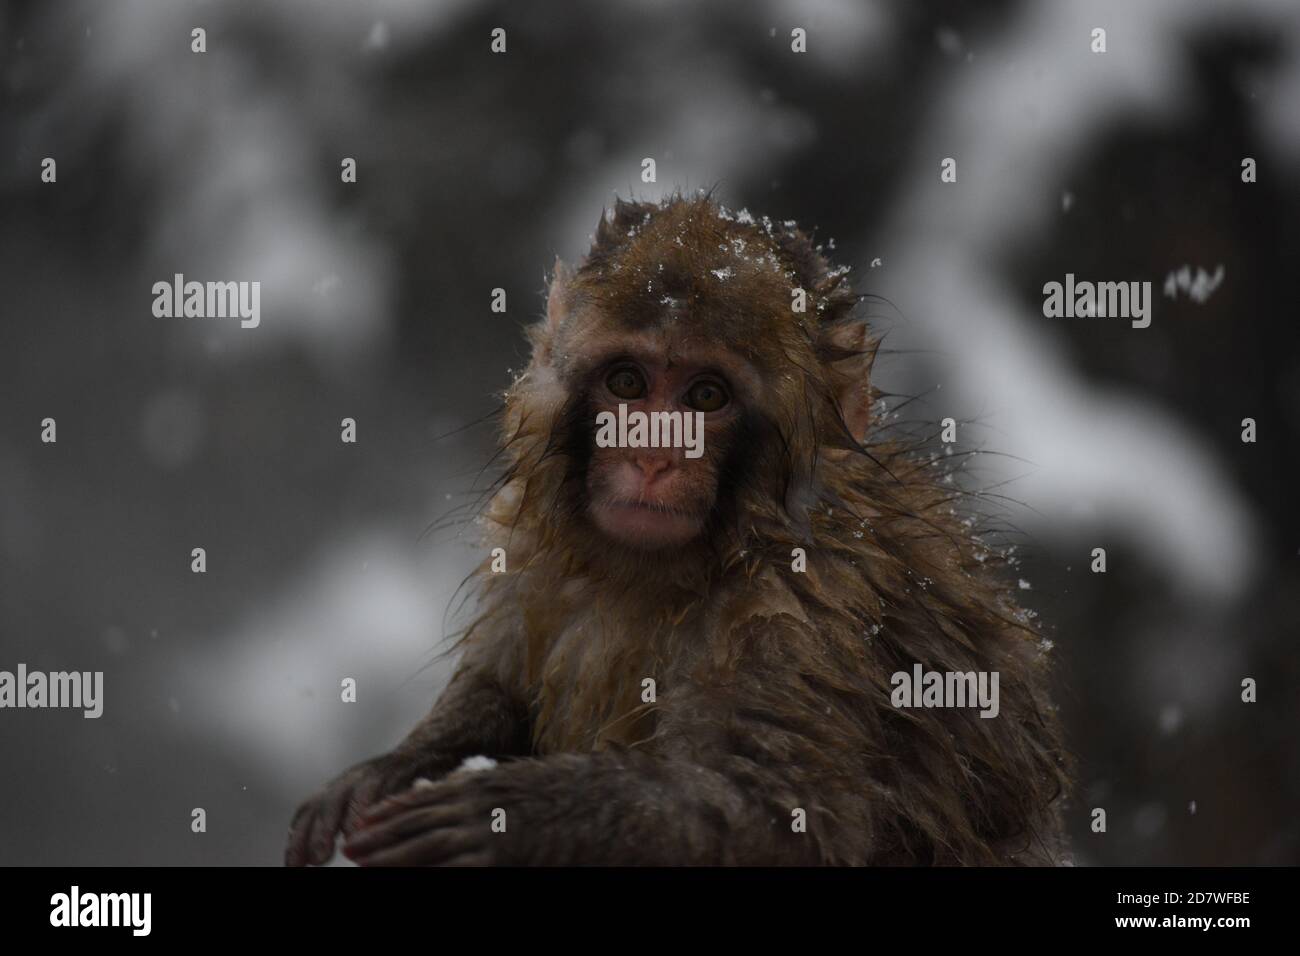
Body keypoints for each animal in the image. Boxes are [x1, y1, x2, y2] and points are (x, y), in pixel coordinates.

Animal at [285, 194, 1070, 867]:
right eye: (628, 384)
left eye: (706, 396)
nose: (653, 456)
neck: (675, 567)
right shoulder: (533, 548)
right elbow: (504, 687)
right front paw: (393, 766)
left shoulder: (796, 618)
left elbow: (801, 823)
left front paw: (525, 816)